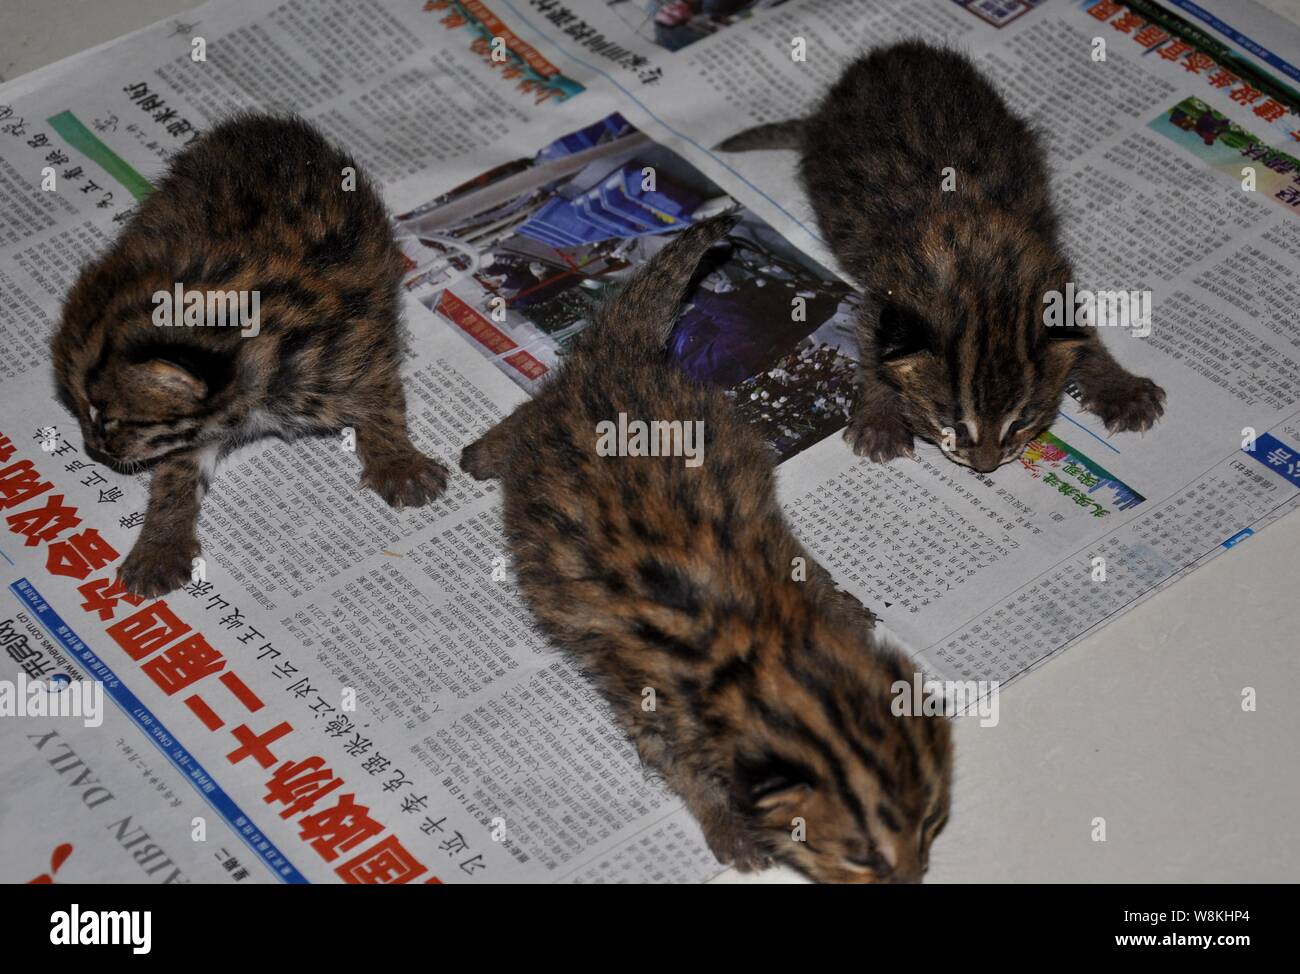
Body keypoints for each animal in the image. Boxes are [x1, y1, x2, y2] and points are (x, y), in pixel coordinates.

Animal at [53, 115, 449, 600]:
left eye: (105, 416)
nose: (93, 448)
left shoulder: (360, 350)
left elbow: (383, 401)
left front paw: (400, 463)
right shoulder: (198, 427)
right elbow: (175, 476)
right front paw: (160, 545)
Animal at [462, 218, 951, 879]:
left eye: (930, 826)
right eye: (862, 858)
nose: (910, 880)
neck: (767, 642)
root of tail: (616, 362)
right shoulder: (655, 699)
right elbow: (679, 763)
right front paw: (725, 823)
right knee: (535, 411)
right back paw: (487, 450)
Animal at [722, 39, 1170, 473]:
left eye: (1021, 422)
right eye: (952, 423)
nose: (986, 468)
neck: (982, 276)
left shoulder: (1050, 273)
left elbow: (1087, 336)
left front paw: (1119, 388)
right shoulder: (887, 294)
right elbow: (871, 355)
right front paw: (879, 418)